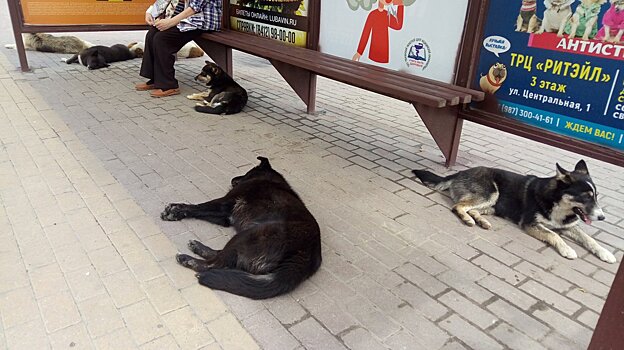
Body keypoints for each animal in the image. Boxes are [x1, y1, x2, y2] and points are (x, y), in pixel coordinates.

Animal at [161, 157, 322, 300]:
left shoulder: (225, 202)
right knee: (223, 258)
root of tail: (304, 255)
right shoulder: (225, 216)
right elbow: (199, 210)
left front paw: (175, 209)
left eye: (247, 172)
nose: (233, 179)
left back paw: (187, 259)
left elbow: (198, 206)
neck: (268, 178)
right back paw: (197, 247)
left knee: (214, 264)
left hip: (247, 235)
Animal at [412, 160, 616, 264]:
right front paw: (567, 249)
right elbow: (554, 235)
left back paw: (481, 221)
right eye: (586, 197)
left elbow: (589, 239)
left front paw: (605, 253)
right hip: (490, 193)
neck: (556, 201)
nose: (602, 217)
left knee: (473, 209)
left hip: (493, 204)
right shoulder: (530, 223)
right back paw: (468, 219)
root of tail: (460, 172)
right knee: (459, 206)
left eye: (596, 196)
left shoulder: (568, 225)